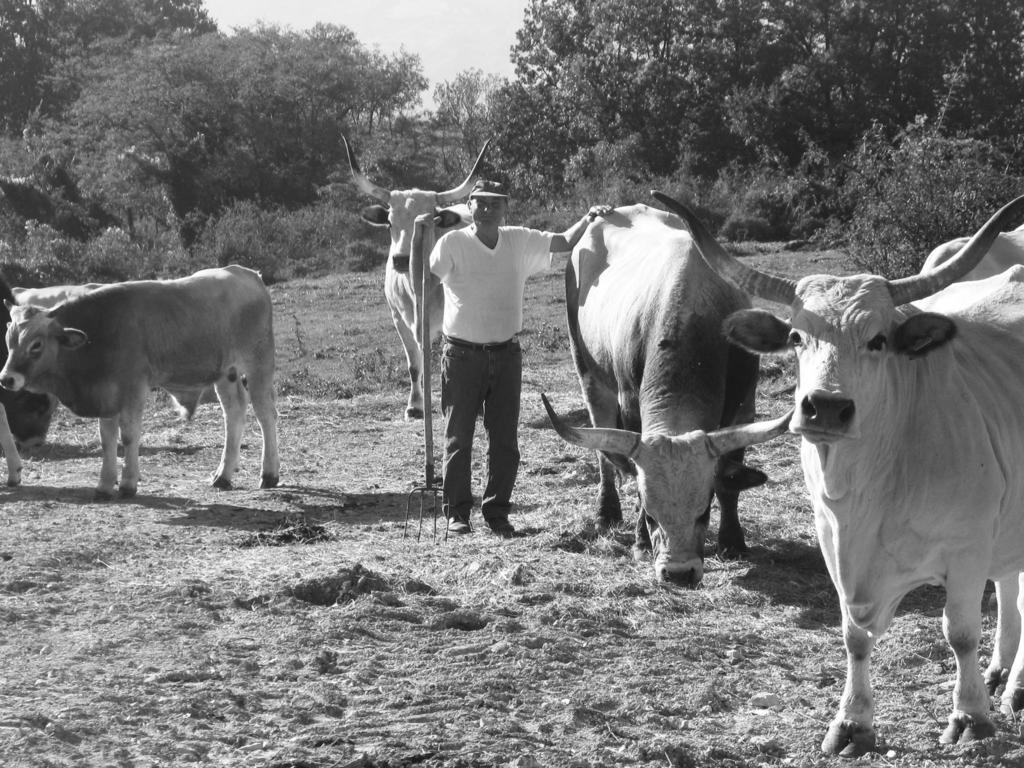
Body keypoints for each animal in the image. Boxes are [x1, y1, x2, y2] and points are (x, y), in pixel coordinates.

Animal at [0, 268, 280, 501]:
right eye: (8, 341)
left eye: (36, 345)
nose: (6, 378)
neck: (99, 331)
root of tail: (245, 273)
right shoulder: (106, 394)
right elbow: (107, 439)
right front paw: (104, 485)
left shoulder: (133, 389)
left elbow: (129, 436)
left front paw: (127, 484)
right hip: (226, 374)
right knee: (234, 413)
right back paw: (223, 475)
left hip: (259, 365)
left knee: (265, 414)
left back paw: (270, 474)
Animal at [337, 134, 489, 421]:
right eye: (389, 223)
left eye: (429, 223)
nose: (400, 259)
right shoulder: (399, 319)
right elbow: (414, 365)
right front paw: (415, 406)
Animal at [557, 201, 778, 585]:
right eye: (651, 515)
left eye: (704, 511)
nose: (678, 573)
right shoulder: (630, 406)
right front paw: (640, 542)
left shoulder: (745, 406)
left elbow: (730, 482)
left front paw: (733, 541)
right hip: (588, 373)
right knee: (603, 453)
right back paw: (605, 512)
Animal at [651, 189, 1024, 753]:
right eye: (796, 337)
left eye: (878, 340)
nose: (825, 407)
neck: (871, 487)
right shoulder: (834, 544)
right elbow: (855, 636)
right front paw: (853, 722)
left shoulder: (967, 549)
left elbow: (959, 633)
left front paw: (970, 716)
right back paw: (1002, 672)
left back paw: (1013, 686)